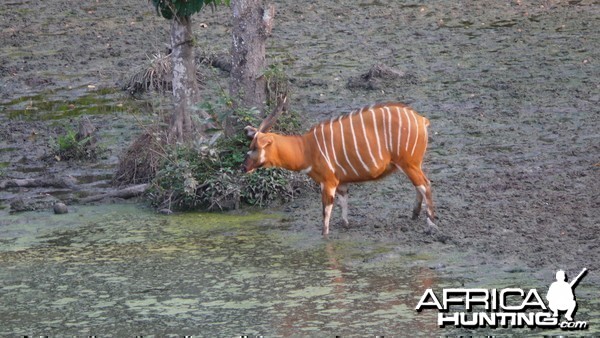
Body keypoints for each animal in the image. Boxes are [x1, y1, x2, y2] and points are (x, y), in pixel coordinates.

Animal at [244, 97, 436, 235]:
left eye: (255, 148)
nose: (244, 168)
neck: (306, 148)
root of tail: (422, 120)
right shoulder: (341, 182)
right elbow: (344, 204)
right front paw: (345, 225)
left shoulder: (328, 182)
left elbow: (326, 212)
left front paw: (325, 235)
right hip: (412, 164)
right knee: (419, 185)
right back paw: (414, 215)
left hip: (408, 163)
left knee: (425, 184)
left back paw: (431, 223)